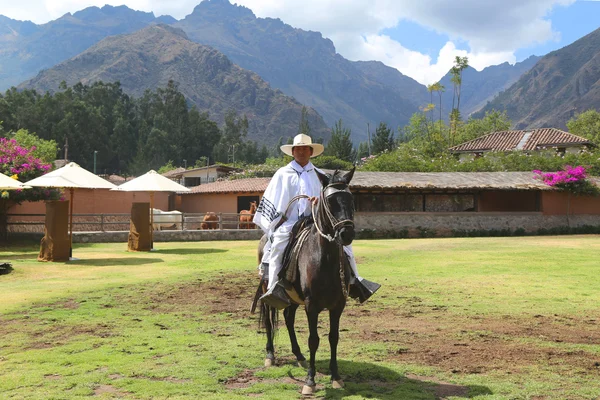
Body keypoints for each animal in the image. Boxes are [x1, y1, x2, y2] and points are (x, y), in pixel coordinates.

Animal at [255, 167, 354, 396]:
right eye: (330, 201)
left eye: (350, 199)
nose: (347, 233)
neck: (325, 258)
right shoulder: (312, 305)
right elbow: (313, 340)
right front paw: (310, 381)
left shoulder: (338, 305)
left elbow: (333, 337)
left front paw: (336, 377)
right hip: (268, 292)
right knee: (269, 320)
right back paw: (270, 355)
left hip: (293, 298)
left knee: (288, 318)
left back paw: (299, 356)